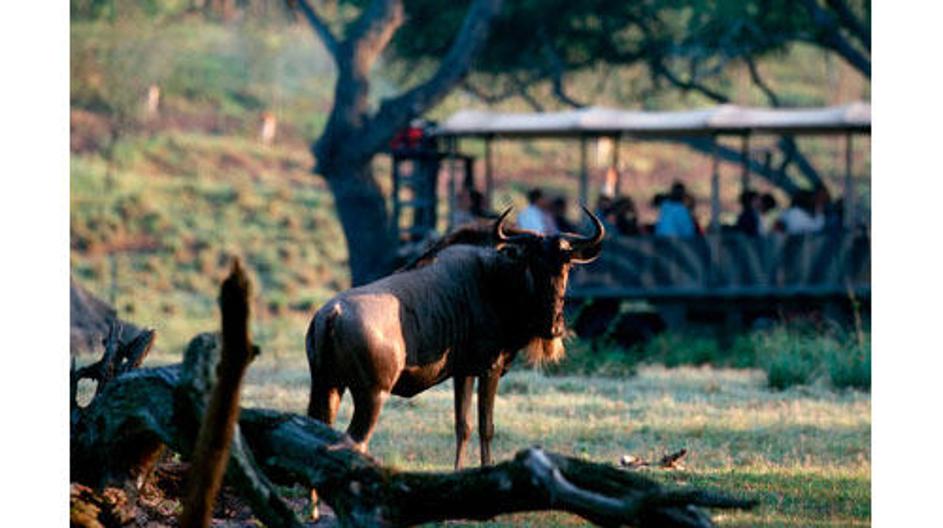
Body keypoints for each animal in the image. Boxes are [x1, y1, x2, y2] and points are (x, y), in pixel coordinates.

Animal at [305, 206, 604, 468]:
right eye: (533, 264)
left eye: (567, 266)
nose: (553, 327)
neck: (494, 278)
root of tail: (331, 313)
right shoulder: (489, 369)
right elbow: (486, 426)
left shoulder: (463, 372)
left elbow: (463, 426)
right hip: (371, 396)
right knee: (352, 442)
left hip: (327, 387)